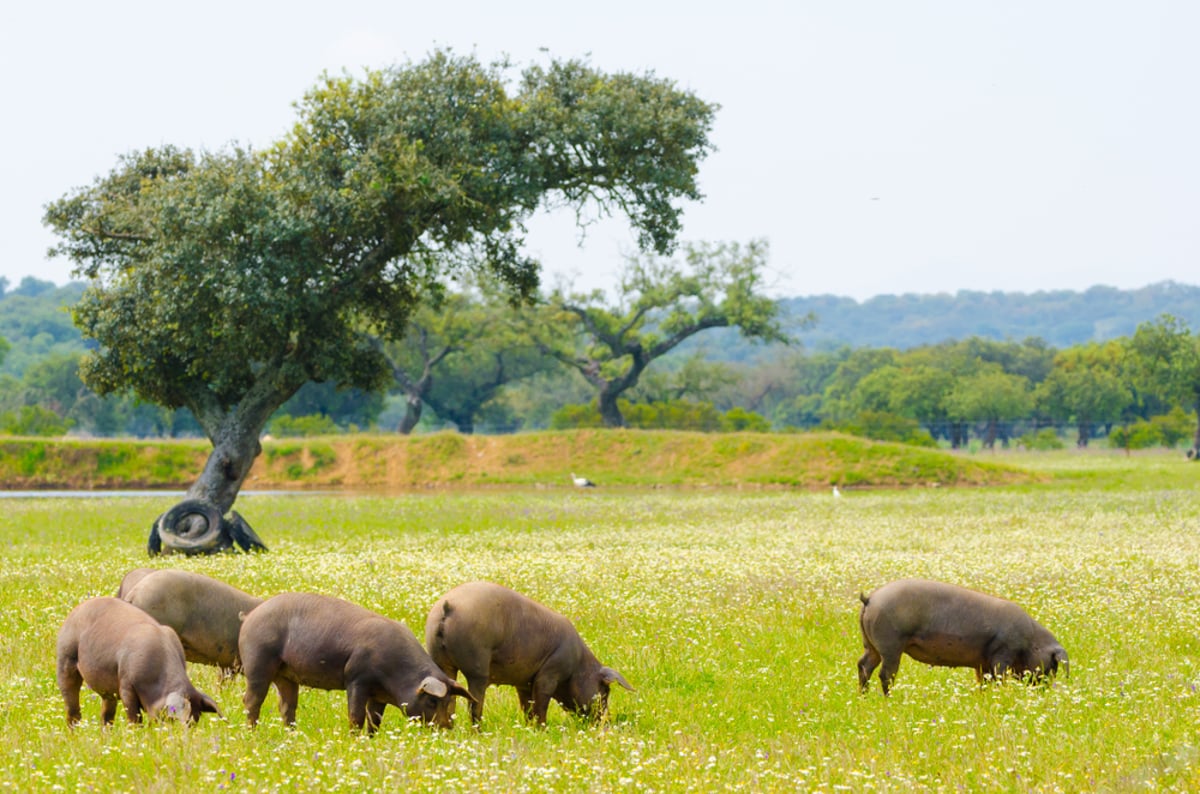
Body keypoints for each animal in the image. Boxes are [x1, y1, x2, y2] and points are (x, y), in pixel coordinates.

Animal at [54, 597, 224, 729]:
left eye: (195, 721)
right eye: (174, 719)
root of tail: (78, 608)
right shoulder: (126, 684)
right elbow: (134, 717)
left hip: (107, 690)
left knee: (106, 715)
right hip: (65, 658)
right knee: (72, 708)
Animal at [236, 597, 475, 734]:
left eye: (449, 700)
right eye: (432, 701)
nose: (447, 728)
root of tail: (249, 616)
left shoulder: (379, 695)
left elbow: (375, 720)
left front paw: (371, 739)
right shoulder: (357, 679)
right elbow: (356, 716)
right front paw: (355, 739)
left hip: (285, 675)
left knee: (286, 705)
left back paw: (292, 735)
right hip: (258, 660)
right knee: (251, 700)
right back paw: (252, 733)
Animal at [422, 582, 633, 724]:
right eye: (605, 691)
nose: (606, 721)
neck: (578, 665)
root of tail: (448, 606)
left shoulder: (523, 681)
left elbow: (526, 705)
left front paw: (529, 727)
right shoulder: (550, 672)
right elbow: (541, 702)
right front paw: (542, 729)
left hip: (440, 660)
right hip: (477, 666)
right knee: (474, 703)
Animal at [859, 578, 1065, 695]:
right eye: (1053, 665)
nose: (1045, 691)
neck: (1030, 641)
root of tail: (871, 599)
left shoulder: (983, 663)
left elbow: (983, 682)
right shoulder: (1003, 653)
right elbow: (999, 677)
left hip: (871, 645)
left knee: (863, 665)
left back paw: (863, 696)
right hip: (891, 645)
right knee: (885, 674)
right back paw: (889, 699)